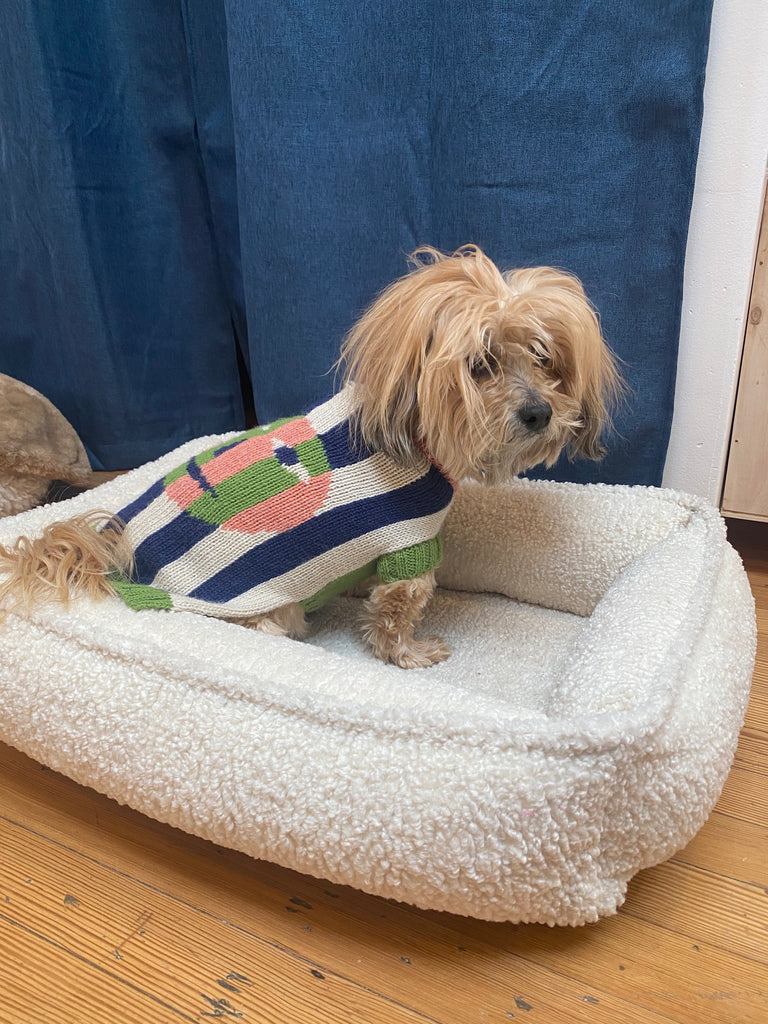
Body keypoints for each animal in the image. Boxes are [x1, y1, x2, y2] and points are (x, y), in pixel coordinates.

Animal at [0, 243, 622, 667]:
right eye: (480, 364)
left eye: (542, 356)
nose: (539, 412)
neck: (413, 434)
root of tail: (114, 557)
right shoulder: (410, 550)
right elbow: (396, 613)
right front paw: (411, 654)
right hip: (265, 615)